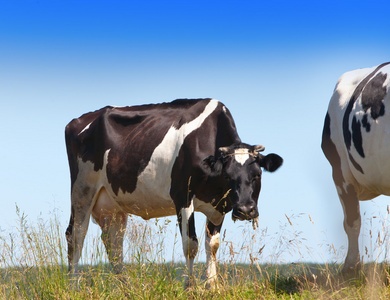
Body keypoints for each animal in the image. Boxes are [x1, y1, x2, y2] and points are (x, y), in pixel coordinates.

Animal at [64, 98, 284, 286]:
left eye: (257, 175)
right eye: (228, 176)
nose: (245, 210)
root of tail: (79, 120)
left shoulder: (218, 206)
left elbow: (212, 245)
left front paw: (213, 287)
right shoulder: (183, 196)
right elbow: (190, 245)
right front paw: (190, 287)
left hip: (113, 203)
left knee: (113, 242)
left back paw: (125, 287)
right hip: (82, 190)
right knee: (76, 235)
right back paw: (74, 286)